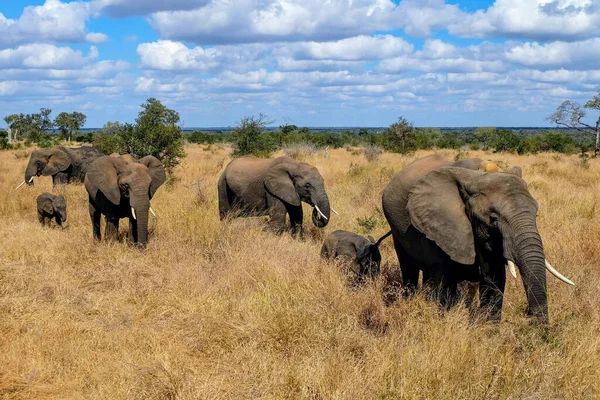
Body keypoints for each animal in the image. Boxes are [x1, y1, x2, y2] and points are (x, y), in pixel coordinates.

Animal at [382, 155, 576, 324]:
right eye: (493, 218)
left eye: (536, 214)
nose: (528, 315)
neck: (476, 176)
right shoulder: (439, 226)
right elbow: (445, 283)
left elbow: (494, 280)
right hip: (397, 227)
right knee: (409, 268)